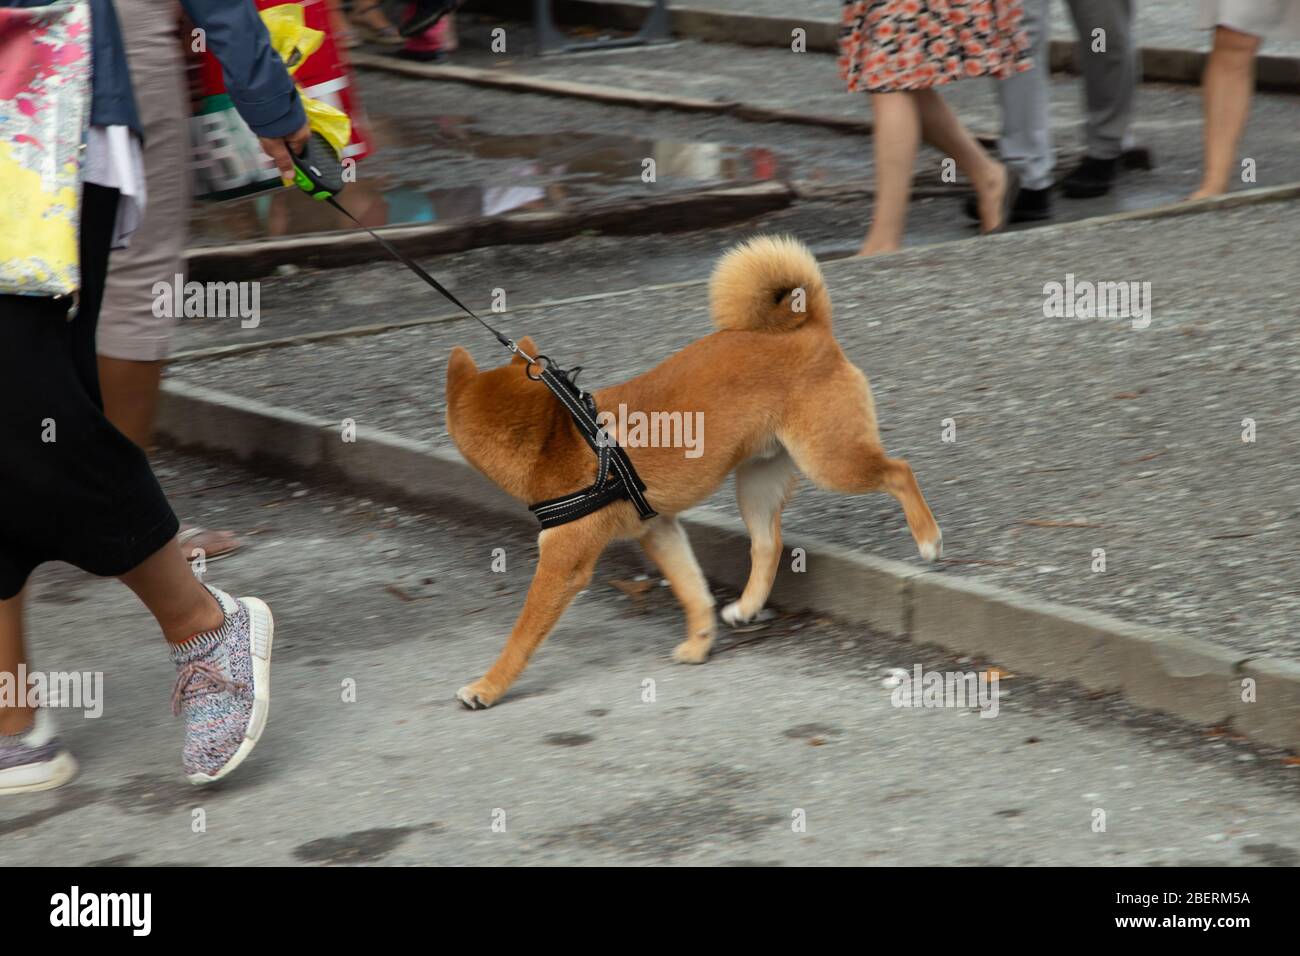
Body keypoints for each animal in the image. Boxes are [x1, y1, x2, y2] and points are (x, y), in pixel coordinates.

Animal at [449, 235, 946, 707]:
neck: (557, 436)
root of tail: (810, 329)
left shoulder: (562, 565)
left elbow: (521, 636)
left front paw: (488, 686)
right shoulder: (659, 530)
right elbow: (691, 589)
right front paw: (701, 640)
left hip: (830, 461)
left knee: (899, 471)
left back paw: (927, 538)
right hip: (758, 483)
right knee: (768, 545)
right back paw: (746, 607)